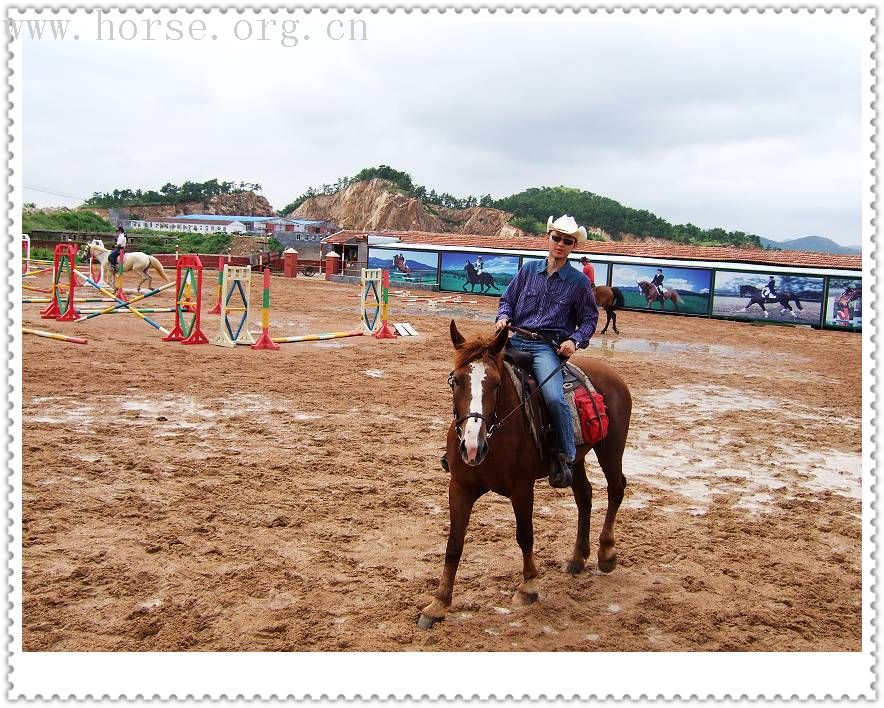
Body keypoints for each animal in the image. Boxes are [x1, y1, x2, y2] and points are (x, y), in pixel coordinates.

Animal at [418, 324, 632, 628]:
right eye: (455, 381)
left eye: (496, 384)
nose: (471, 447)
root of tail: (612, 375)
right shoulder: (459, 487)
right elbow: (454, 544)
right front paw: (438, 603)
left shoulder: (522, 489)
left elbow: (525, 535)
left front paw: (528, 587)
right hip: (576, 460)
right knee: (585, 496)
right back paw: (578, 558)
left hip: (611, 449)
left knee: (615, 489)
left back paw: (606, 553)